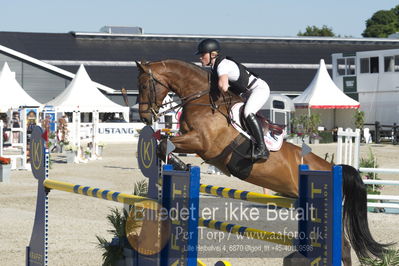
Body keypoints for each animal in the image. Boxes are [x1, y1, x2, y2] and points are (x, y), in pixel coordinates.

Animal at [136, 59, 392, 264]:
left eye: (144, 85)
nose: (145, 117)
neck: (203, 99)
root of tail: (332, 167)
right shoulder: (191, 139)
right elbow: (162, 141)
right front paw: (176, 163)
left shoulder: (202, 142)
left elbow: (164, 144)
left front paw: (178, 163)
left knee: (344, 246)